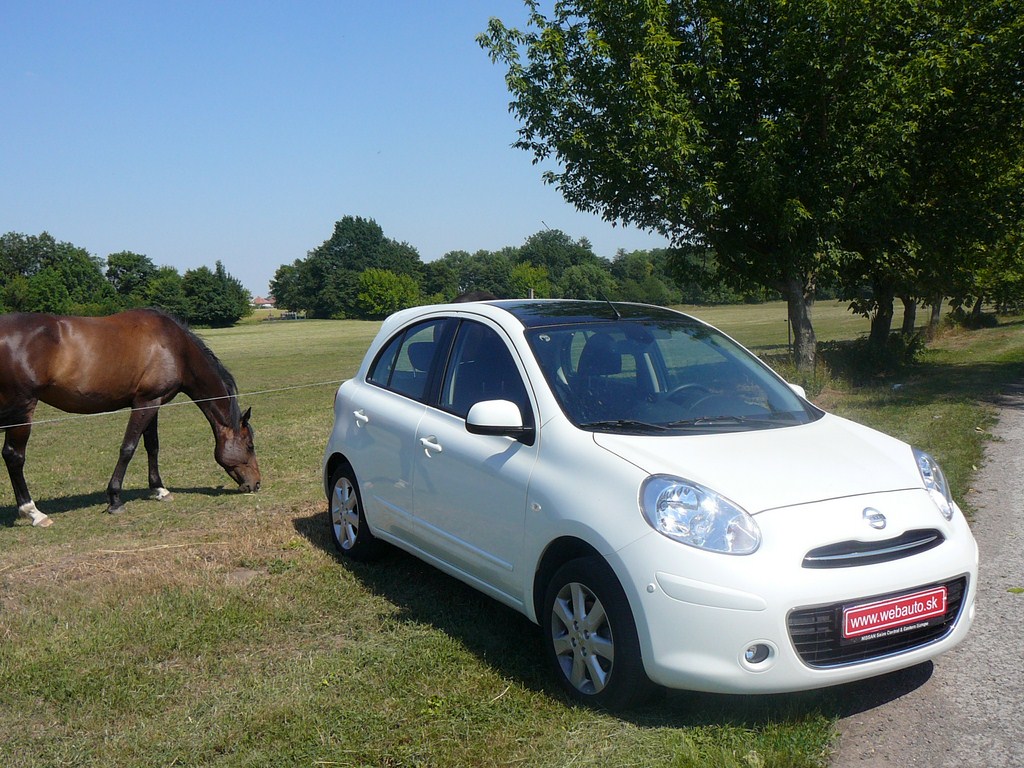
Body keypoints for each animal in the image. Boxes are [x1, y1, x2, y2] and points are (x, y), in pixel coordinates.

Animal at [0, 309, 262, 528]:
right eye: (250, 445)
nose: (256, 484)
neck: (175, 348)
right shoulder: (145, 403)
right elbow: (128, 448)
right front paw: (115, 499)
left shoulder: (153, 403)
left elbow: (152, 446)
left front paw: (159, 489)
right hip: (22, 410)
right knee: (14, 457)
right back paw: (33, 512)